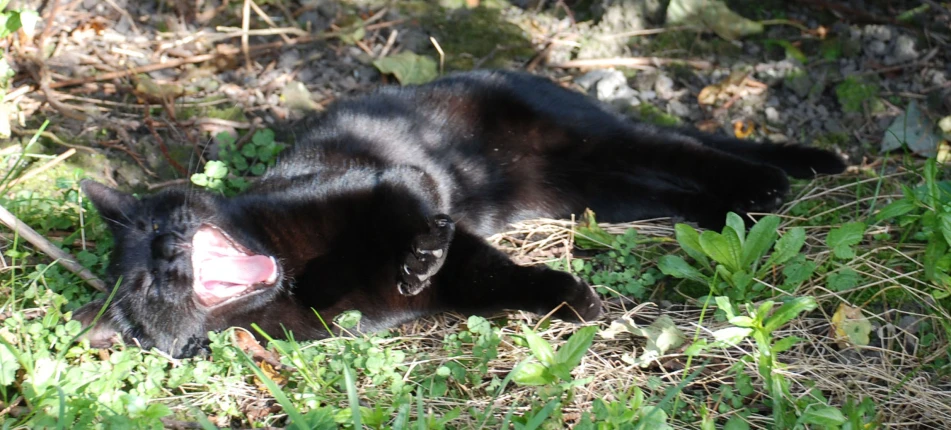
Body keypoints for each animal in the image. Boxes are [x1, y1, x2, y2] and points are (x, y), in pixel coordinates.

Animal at [76, 70, 848, 358]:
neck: (295, 270)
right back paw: (739, 213)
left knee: (684, 147)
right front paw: (573, 298)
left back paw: (774, 179)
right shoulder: (429, 296)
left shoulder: (393, 177)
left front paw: (423, 248)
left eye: (156, 226)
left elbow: (425, 215)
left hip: (585, 137)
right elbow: (498, 279)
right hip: (600, 191)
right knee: (675, 186)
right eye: (145, 286)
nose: (167, 251)